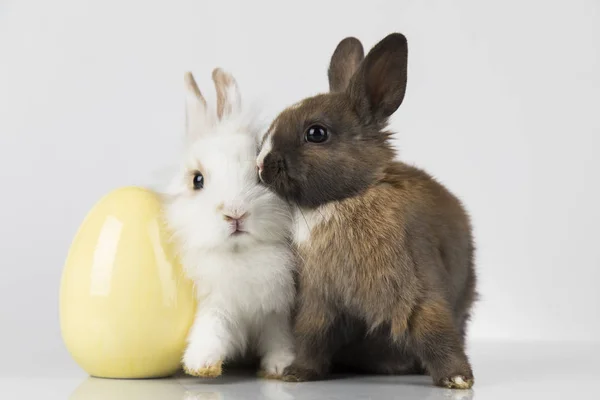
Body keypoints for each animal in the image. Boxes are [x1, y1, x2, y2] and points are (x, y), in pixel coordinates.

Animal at [163, 69, 296, 378]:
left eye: (260, 174)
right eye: (197, 179)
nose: (236, 213)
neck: (240, 254)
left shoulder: (277, 311)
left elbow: (279, 339)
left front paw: (280, 366)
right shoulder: (214, 303)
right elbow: (211, 330)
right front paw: (201, 364)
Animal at [258, 32, 478, 390]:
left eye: (316, 133)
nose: (261, 166)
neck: (348, 197)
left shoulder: (417, 291)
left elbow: (435, 331)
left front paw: (458, 379)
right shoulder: (318, 302)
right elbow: (311, 336)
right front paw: (297, 373)